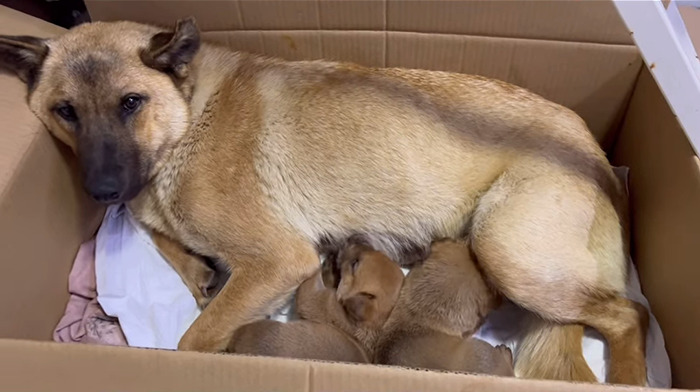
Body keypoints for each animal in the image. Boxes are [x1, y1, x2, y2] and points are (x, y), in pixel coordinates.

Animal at [0, 16, 648, 384]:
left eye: (131, 103)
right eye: (65, 111)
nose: (101, 191)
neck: (189, 113)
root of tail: (596, 154)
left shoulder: (277, 260)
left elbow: (192, 339)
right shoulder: (151, 208)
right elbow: (155, 230)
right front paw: (196, 268)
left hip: (507, 248)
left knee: (630, 314)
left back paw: (632, 376)